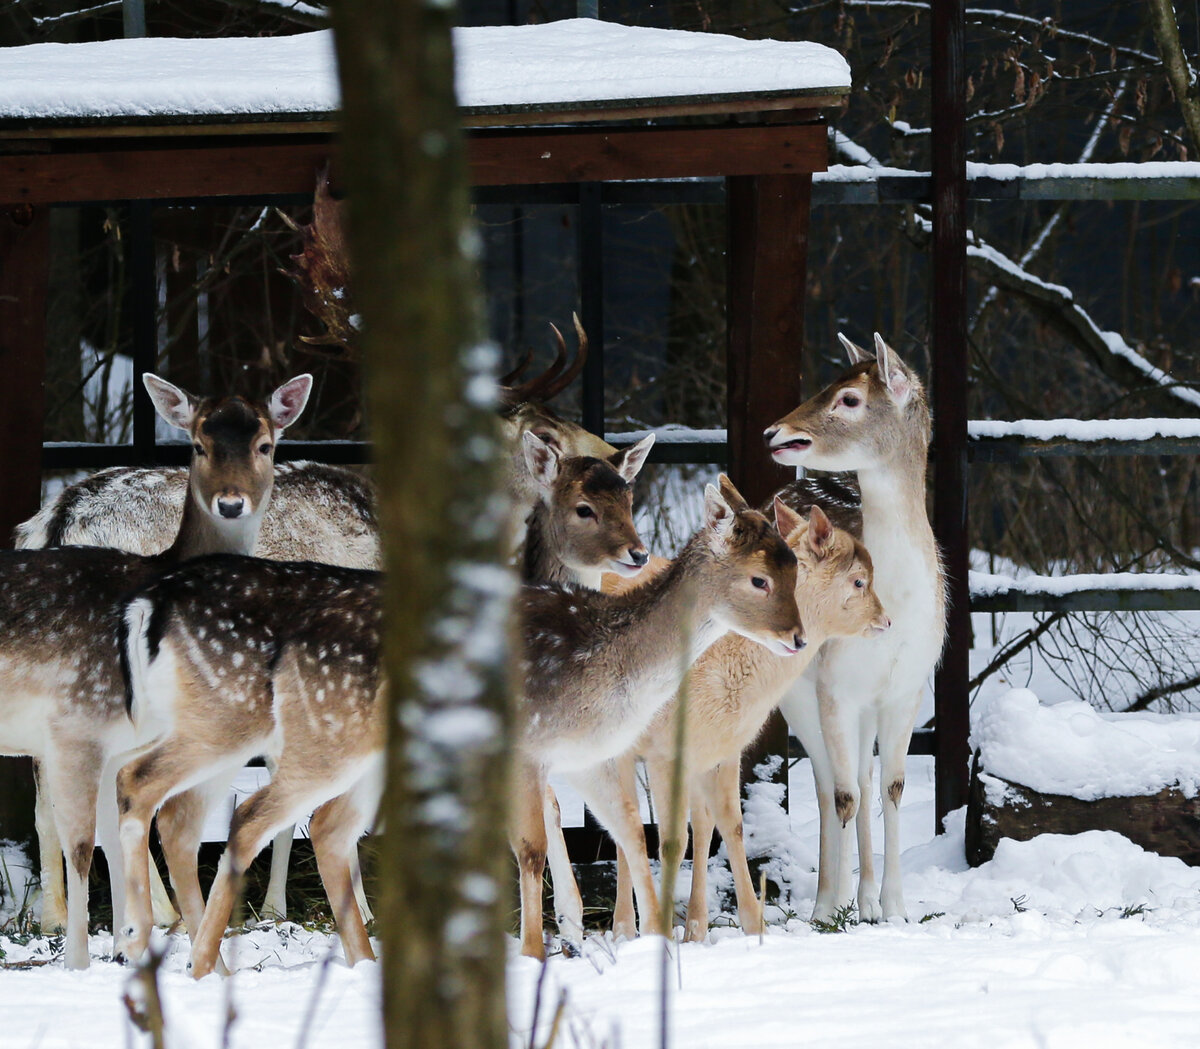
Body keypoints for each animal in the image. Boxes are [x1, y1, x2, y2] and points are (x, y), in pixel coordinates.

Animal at [758, 331, 945, 921]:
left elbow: (892, 787)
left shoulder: (907, 686)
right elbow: (842, 793)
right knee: (826, 786)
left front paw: (896, 908)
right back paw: (831, 900)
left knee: (860, 776)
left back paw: (863, 901)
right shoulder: (835, 686)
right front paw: (830, 914)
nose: (774, 432)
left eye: (850, 398)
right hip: (797, 692)